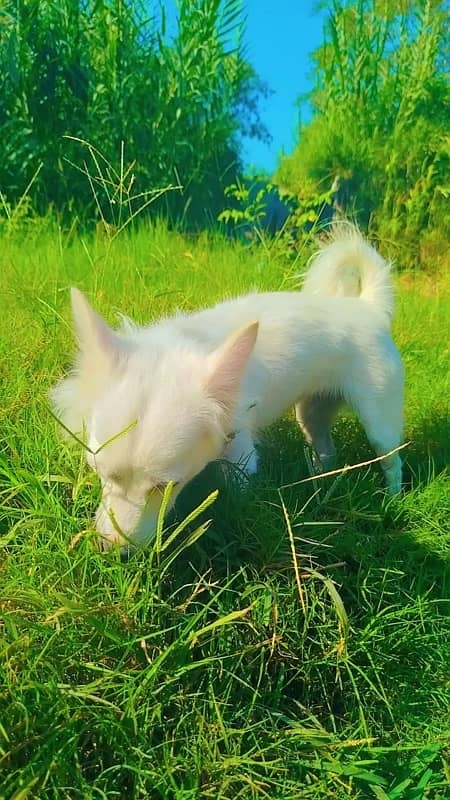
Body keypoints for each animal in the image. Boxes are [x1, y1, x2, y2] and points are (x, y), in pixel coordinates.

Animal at [51, 227, 404, 552]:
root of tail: (368, 308)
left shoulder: (241, 456)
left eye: (167, 486)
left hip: (380, 421)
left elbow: (237, 496)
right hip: (311, 414)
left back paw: (393, 499)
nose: (110, 549)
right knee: (325, 448)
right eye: (97, 472)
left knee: (391, 459)